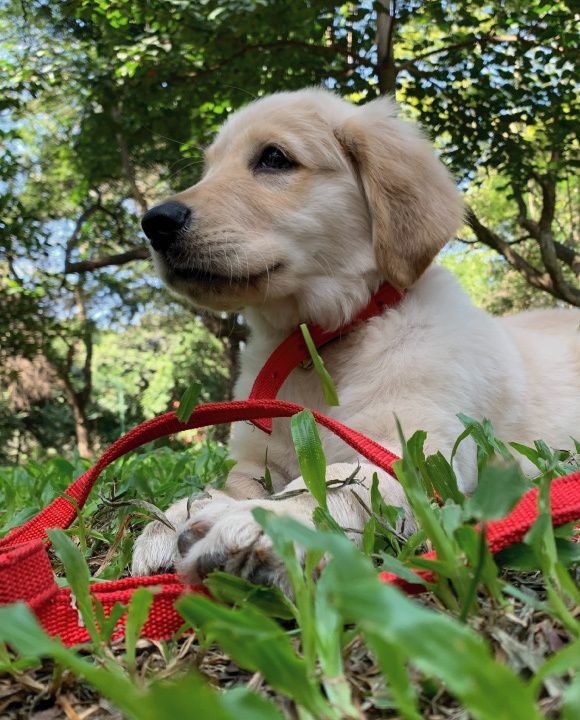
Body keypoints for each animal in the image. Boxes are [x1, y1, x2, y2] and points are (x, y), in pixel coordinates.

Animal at [134, 87, 576, 588]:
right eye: (207, 169)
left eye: (274, 158)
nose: (154, 222)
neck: (318, 343)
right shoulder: (259, 457)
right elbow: (233, 481)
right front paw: (176, 515)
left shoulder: (418, 457)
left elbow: (338, 481)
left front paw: (261, 521)